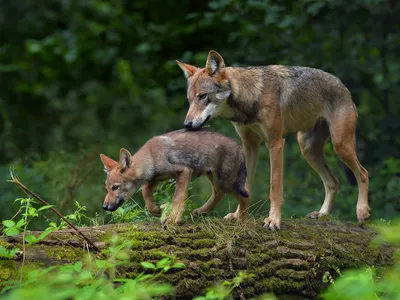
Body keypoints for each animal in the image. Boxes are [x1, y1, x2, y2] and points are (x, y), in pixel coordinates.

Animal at [177, 51, 370, 230]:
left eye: (203, 96)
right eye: (189, 99)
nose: (187, 124)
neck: (250, 97)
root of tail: (343, 86)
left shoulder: (275, 143)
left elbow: (274, 187)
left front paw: (273, 220)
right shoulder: (249, 145)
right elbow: (245, 187)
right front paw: (239, 216)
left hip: (340, 145)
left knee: (363, 173)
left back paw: (362, 212)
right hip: (307, 149)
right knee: (333, 182)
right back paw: (322, 214)